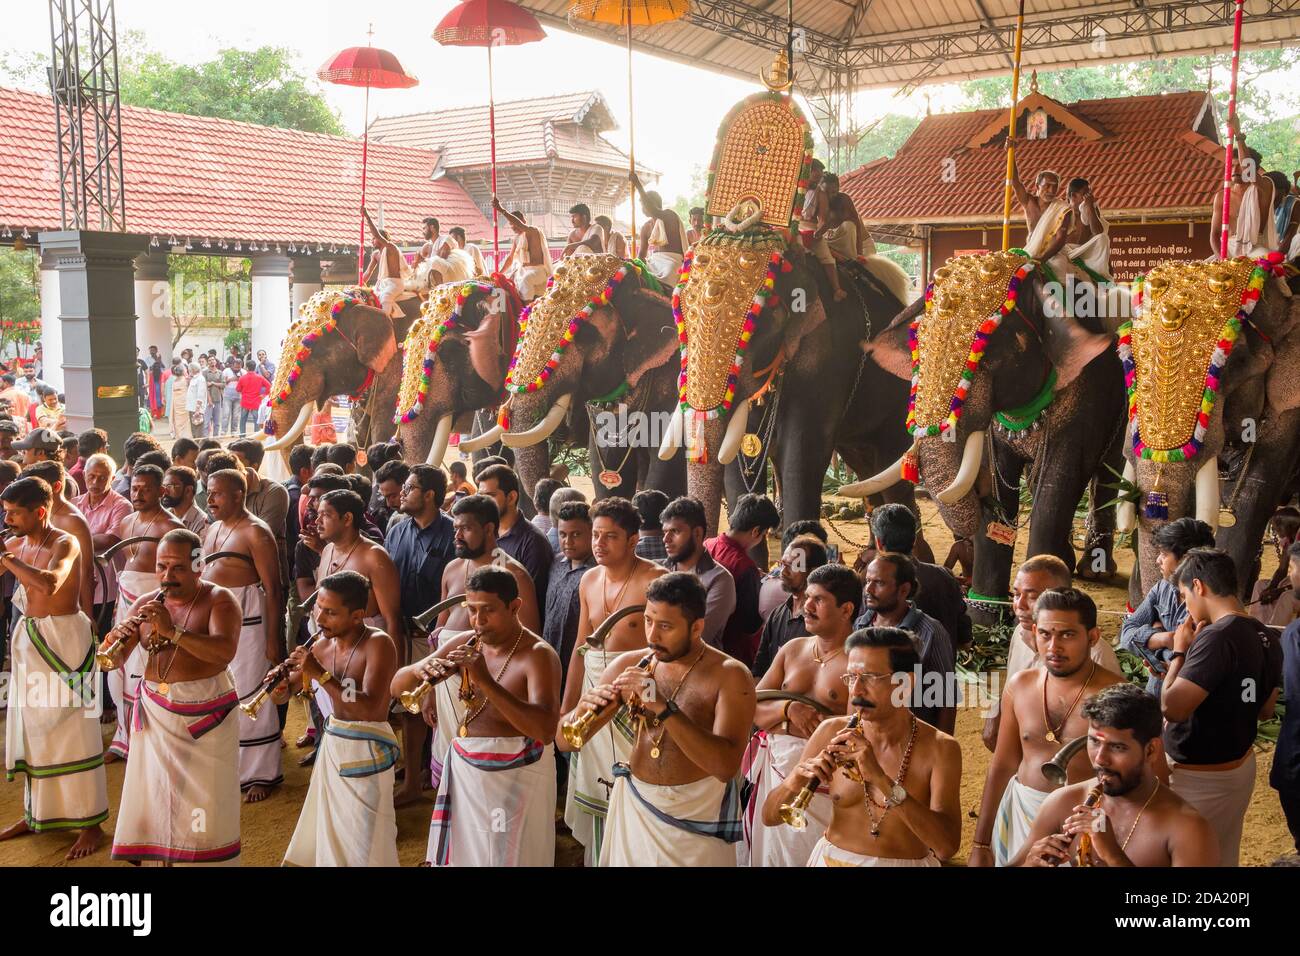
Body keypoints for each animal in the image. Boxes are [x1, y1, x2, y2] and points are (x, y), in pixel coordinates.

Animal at [488, 257, 691, 504]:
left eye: (586, 334)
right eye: (524, 322)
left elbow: (665, 469)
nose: (555, 477)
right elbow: (607, 465)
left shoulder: (671, 382)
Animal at [847, 251, 1133, 608]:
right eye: (917, 345)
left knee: (1106, 474)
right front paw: (986, 608)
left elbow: (1059, 483)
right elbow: (998, 471)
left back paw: (1095, 572)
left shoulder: (1089, 391)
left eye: (988, 353)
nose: (980, 495)